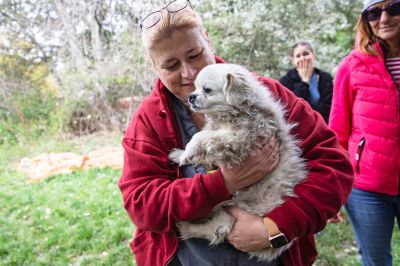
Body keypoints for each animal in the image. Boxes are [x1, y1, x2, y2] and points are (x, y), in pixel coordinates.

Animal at [168, 63, 306, 260]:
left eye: (207, 90)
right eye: (194, 87)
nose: (191, 97)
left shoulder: (238, 139)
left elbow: (202, 136)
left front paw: (188, 150)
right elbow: (205, 143)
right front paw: (179, 154)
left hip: (231, 216)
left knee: (213, 230)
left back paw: (184, 226)